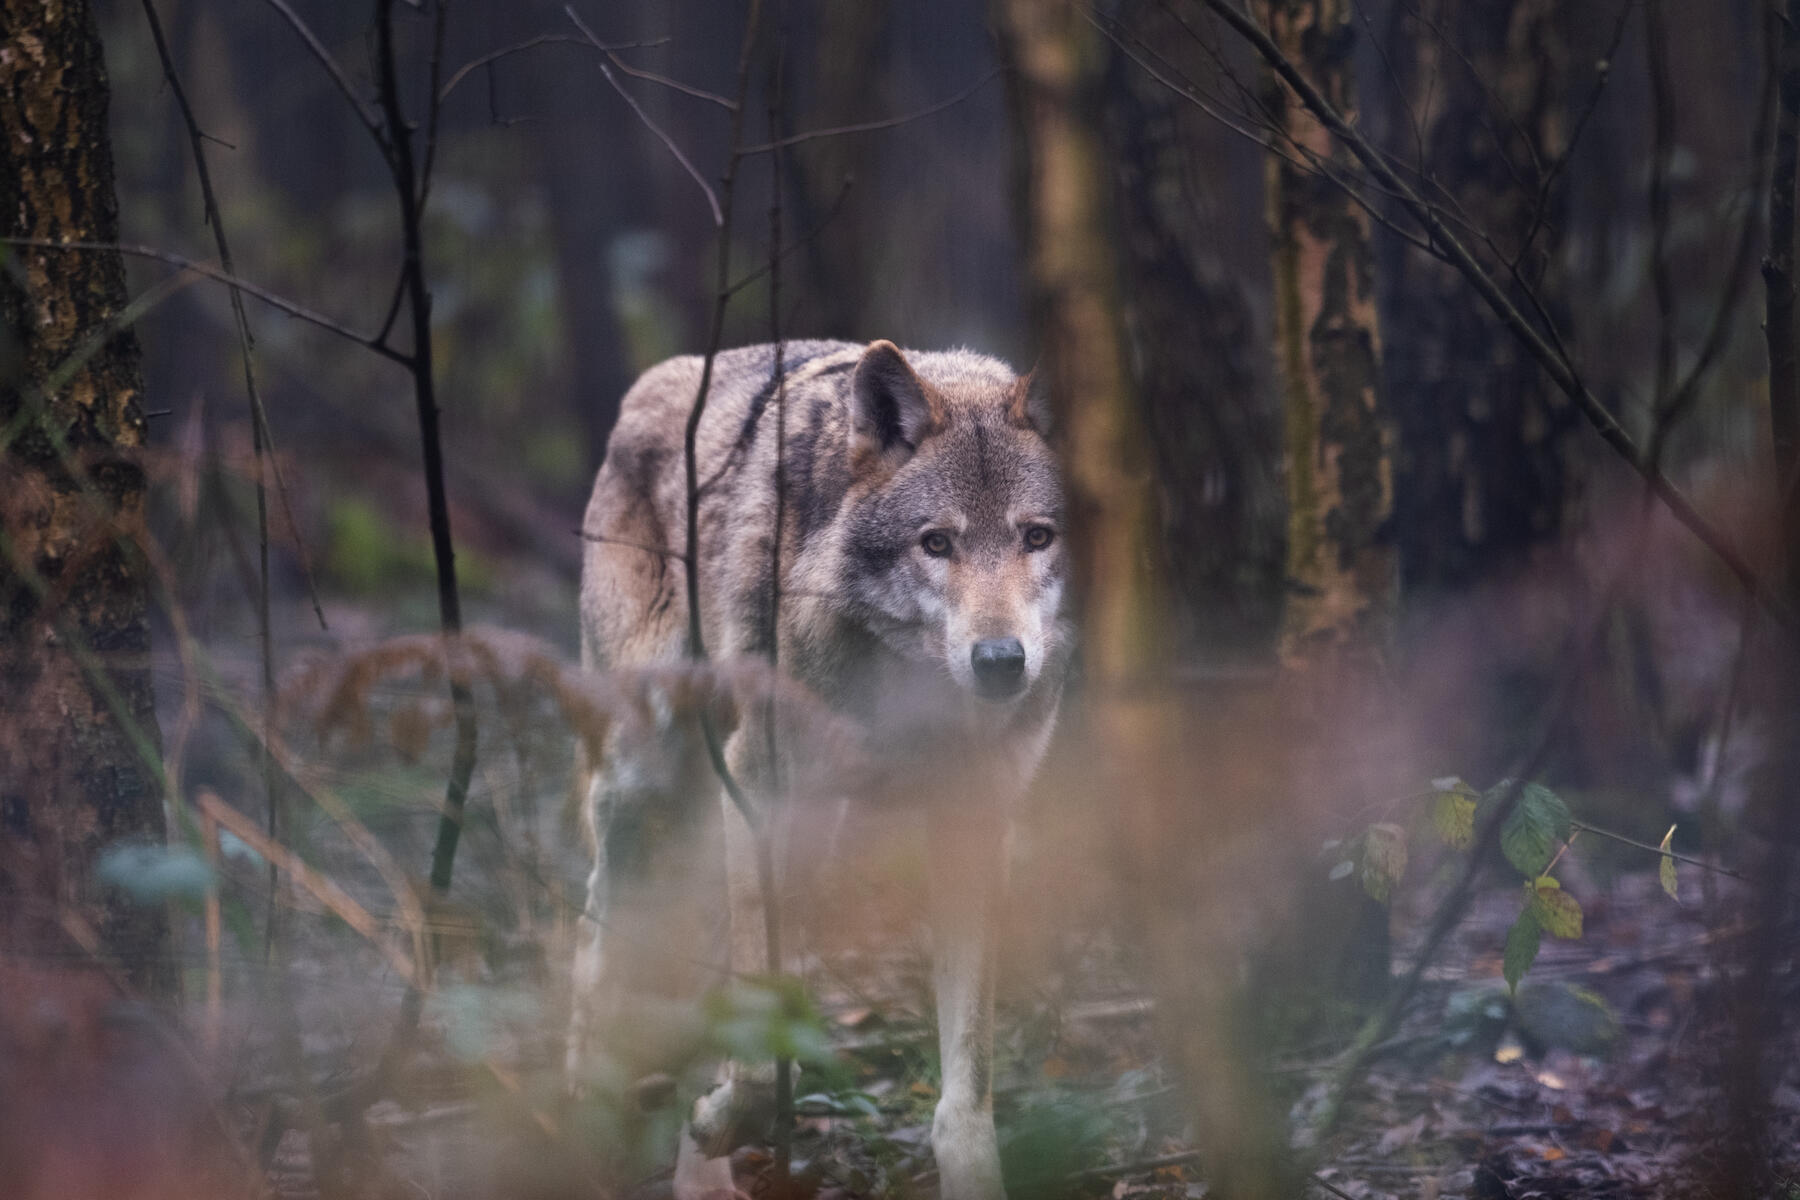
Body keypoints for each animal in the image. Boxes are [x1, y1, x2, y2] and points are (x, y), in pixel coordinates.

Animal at [568, 338, 1065, 1200]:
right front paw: (722, 1116)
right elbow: (764, 1050)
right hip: (648, 787)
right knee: (593, 942)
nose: (1003, 662)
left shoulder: (973, 830)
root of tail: (656, 380)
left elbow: (966, 1087)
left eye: (1035, 538)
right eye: (936, 543)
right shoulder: (759, 794)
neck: (904, 686)